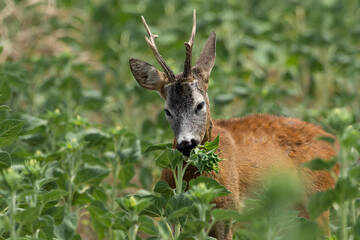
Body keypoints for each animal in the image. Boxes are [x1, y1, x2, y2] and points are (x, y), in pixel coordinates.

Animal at [129, 10, 338, 239]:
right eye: (167, 110)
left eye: (200, 104)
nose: (186, 144)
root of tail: (333, 142)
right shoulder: (174, 214)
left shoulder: (229, 213)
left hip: (318, 203)